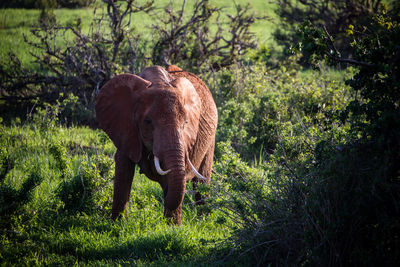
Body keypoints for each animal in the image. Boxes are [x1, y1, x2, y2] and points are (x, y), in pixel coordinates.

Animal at [95, 65, 217, 226]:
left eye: (185, 122)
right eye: (148, 121)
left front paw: (173, 229)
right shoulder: (124, 128)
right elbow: (123, 170)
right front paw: (117, 224)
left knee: (202, 180)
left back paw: (204, 220)